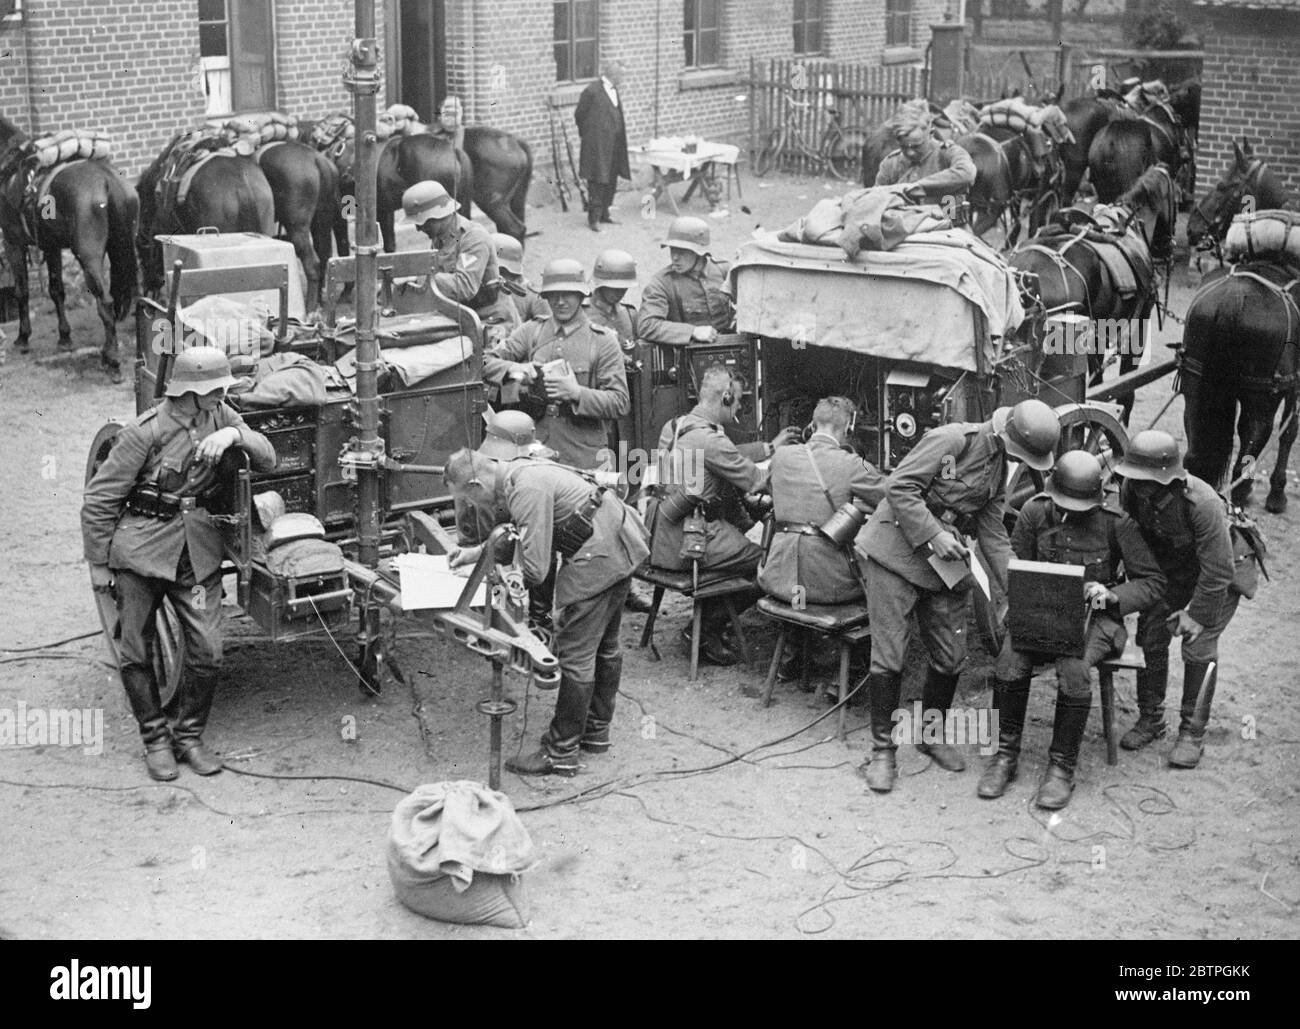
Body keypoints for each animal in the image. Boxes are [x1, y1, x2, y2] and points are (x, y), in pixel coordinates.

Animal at [0, 113, 138, 376]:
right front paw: (64, 338)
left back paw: (112, 359)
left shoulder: (14, 244)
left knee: (105, 303)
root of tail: (107, 180)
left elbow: (21, 292)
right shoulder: (51, 247)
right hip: (120, 250)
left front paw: (23, 338)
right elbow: (57, 291)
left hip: (88, 257)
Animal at [1008, 163, 1185, 420]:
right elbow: (1125, 390)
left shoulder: (1098, 338)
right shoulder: (1138, 327)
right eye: (1177, 202)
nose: (1169, 246)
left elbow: (1097, 383)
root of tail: (1027, 273)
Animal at [1185, 141, 1294, 514]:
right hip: (1261, 395)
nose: (1191, 228)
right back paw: (1243, 495)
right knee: (1249, 447)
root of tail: (1232, 301)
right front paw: (1277, 493)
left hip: (1196, 382)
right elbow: (1289, 433)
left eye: (1223, 186)